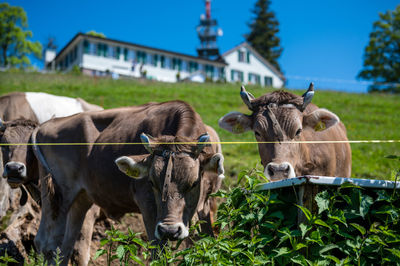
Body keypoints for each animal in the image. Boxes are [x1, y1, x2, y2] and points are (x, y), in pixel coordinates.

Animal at [29, 100, 225, 264]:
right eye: (152, 183)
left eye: (194, 183)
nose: (169, 231)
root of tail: (46, 125)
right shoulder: (147, 205)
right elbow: (158, 253)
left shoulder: (204, 206)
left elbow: (201, 245)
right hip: (59, 196)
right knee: (49, 243)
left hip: (81, 198)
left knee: (67, 244)